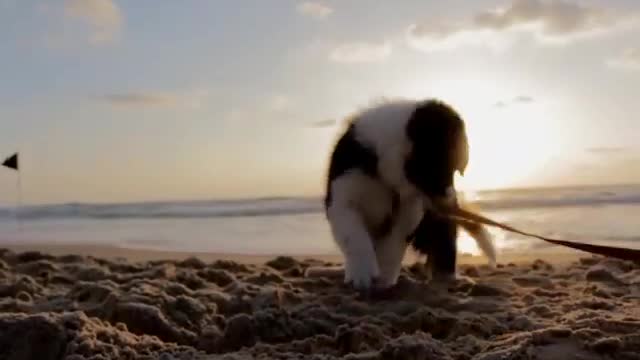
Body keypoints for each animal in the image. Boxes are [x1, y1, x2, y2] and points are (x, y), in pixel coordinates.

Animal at [324, 98, 496, 292]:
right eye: (442, 166)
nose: (453, 204)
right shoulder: (342, 197)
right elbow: (353, 235)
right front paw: (362, 273)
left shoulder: (409, 211)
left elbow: (394, 244)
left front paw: (384, 278)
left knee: (444, 245)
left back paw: (449, 278)